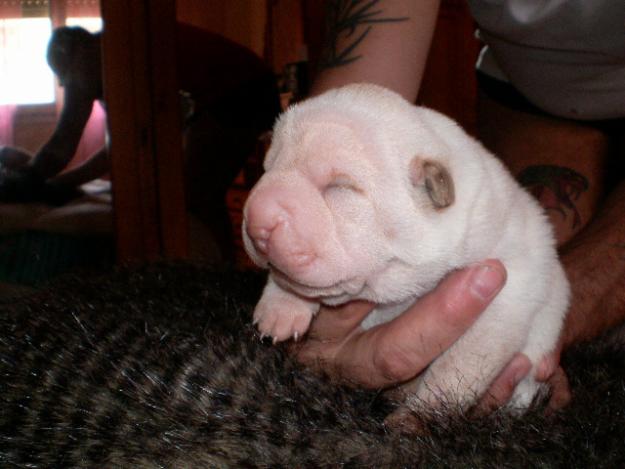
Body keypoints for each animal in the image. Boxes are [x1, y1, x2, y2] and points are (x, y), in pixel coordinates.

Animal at [241, 83, 568, 410]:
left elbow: (458, 365)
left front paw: (421, 416)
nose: (257, 222)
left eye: (340, 186)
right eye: (267, 168)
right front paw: (281, 306)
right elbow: (291, 281)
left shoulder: (507, 293)